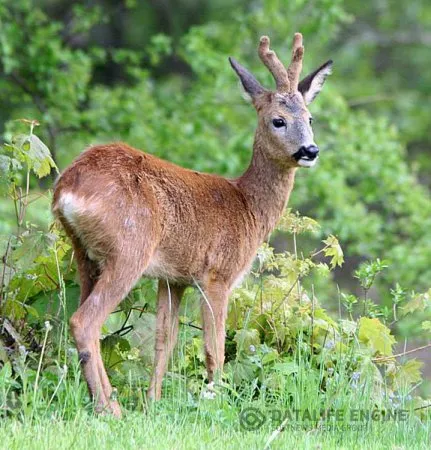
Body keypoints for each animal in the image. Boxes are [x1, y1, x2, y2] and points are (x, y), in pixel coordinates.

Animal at [51, 32, 334, 418]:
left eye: (310, 117)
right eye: (278, 120)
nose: (310, 150)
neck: (247, 207)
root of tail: (68, 187)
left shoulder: (173, 278)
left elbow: (164, 341)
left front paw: (153, 403)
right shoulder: (216, 274)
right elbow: (215, 347)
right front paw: (216, 403)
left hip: (83, 253)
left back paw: (104, 402)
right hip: (129, 249)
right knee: (85, 321)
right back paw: (111, 408)